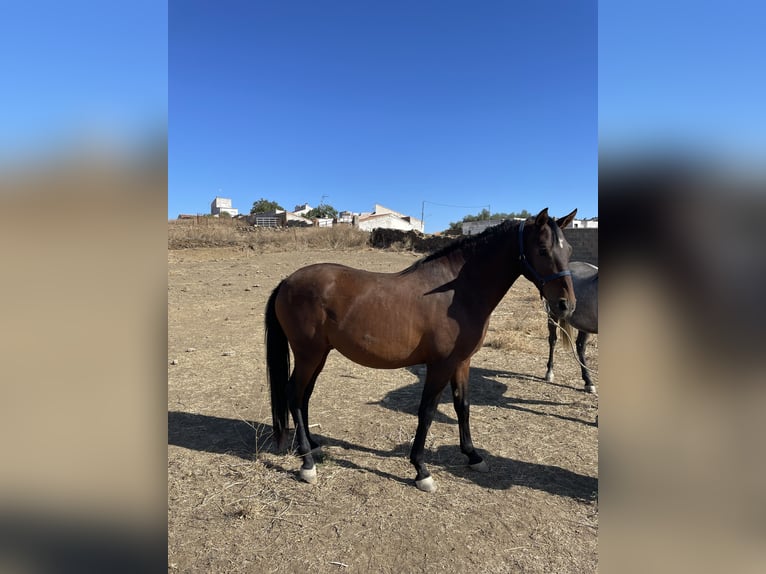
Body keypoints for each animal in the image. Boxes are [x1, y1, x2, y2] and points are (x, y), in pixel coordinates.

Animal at [265, 208, 578, 492]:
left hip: (319, 355)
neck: (456, 293)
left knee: (303, 397)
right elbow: (427, 412)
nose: (566, 305)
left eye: (569, 249)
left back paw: (313, 446)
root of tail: (287, 281)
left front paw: (473, 456)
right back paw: (307, 463)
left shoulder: (462, 362)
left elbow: (462, 406)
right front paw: (421, 470)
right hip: (308, 354)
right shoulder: (440, 365)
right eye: (542, 249)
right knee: (294, 394)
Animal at [544, 261, 598, 393]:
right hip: (552, 315)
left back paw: (588, 382)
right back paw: (549, 373)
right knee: (552, 340)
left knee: (580, 346)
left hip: (585, 325)